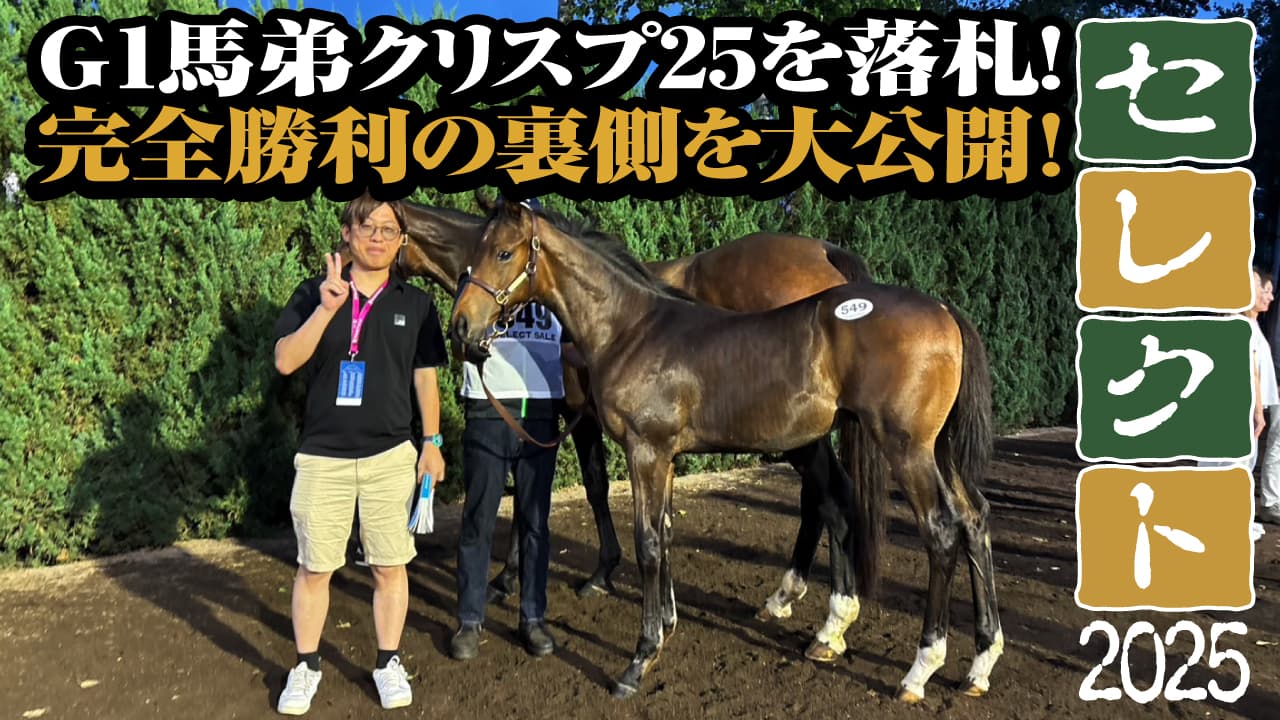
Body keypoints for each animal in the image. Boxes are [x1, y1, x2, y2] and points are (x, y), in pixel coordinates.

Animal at [386, 200, 878, 630]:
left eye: (502, 254)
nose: (460, 328)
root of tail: (823, 252)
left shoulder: (571, 417)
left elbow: (580, 490)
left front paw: (571, 574)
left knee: (828, 497)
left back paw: (814, 609)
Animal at [450, 198, 1001, 703]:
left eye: (503, 252)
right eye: (472, 250)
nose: (461, 327)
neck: (631, 328)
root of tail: (945, 311)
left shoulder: (645, 451)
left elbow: (648, 543)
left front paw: (640, 659)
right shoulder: (667, 457)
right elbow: (666, 533)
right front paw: (667, 626)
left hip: (907, 449)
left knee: (940, 532)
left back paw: (919, 668)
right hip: (938, 449)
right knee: (973, 518)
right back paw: (979, 661)